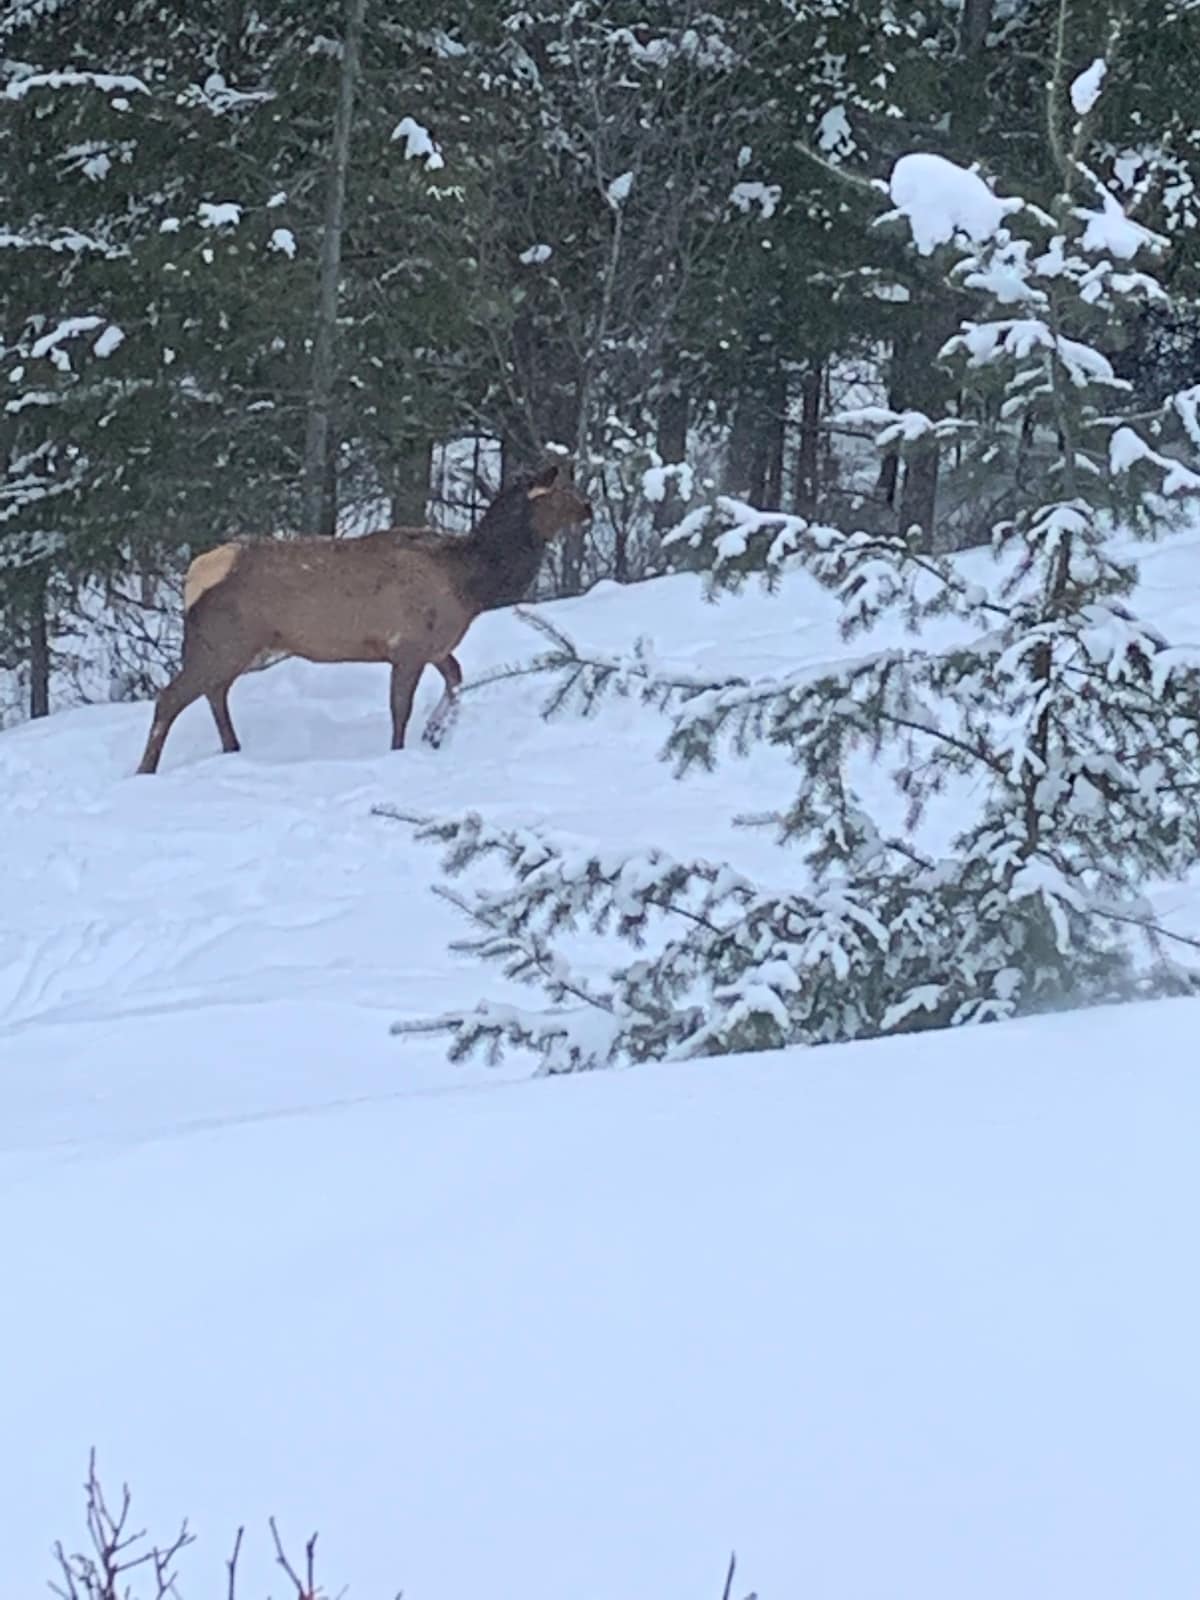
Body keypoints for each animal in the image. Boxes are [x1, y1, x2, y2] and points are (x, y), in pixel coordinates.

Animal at [135, 464, 592, 774]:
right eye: (561, 491)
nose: (589, 507)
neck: (471, 584)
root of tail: (195, 575)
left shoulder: (435, 647)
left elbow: (457, 679)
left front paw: (436, 733)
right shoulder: (408, 646)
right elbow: (400, 708)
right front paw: (403, 746)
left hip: (243, 647)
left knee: (215, 692)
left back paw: (233, 748)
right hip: (222, 642)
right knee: (171, 697)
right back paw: (147, 769)